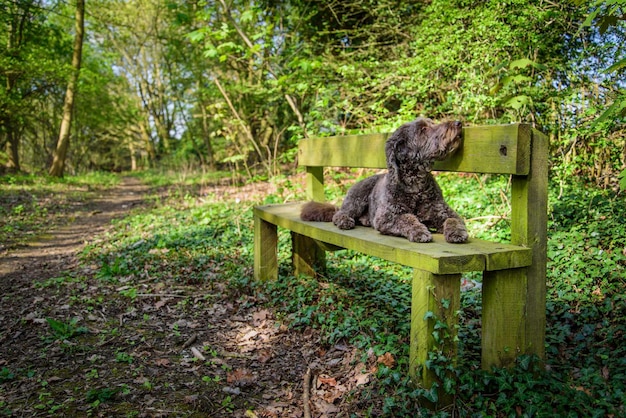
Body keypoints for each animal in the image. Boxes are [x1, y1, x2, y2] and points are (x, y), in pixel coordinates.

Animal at [300, 116, 466, 243]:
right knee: (339, 214)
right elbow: (407, 218)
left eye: (432, 123)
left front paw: (457, 233)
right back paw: (345, 221)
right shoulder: (386, 217)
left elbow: (454, 220)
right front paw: (419, 231)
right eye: (423, 129)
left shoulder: (444, 212)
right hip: (357, 198)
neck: (416, 186)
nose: (458, 123)